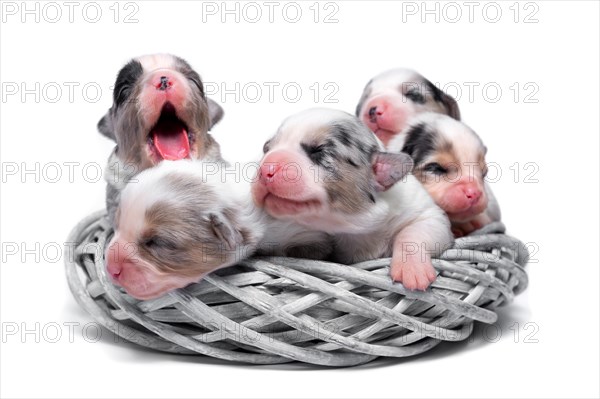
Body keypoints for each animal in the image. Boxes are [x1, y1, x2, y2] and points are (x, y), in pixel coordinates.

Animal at [251, 108, 452, 292]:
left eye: (318, 151)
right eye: (266, 148)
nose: (265, 169)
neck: (354, 227)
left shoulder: (426, 212)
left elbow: (414, 232)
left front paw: (412, 271)